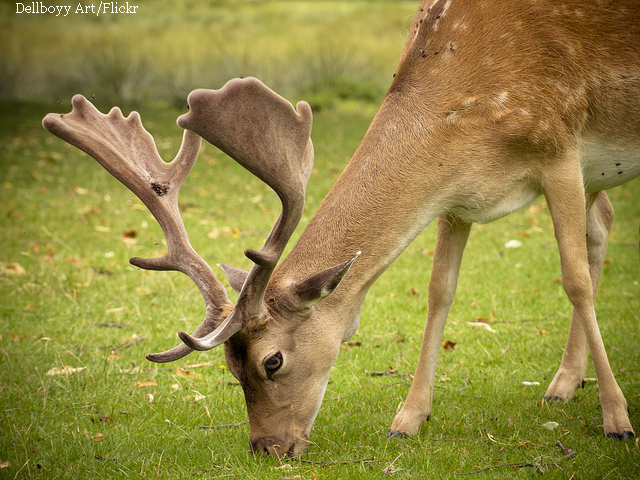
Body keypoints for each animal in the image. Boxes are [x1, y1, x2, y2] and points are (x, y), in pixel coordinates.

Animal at [42, 0, 636, 458]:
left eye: (272, 361)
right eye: (231, 369)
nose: (266, 449)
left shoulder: (560, 147)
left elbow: (574, 281)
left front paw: (617, 420)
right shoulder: (457, 200)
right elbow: (439, 292)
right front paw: (408, 419)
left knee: (590, 249)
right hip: (596, 176)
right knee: (603, 223)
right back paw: (563, 385)